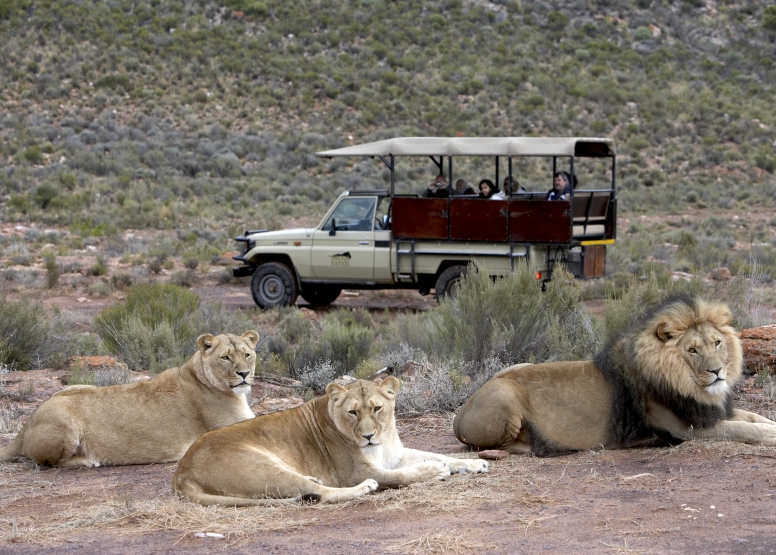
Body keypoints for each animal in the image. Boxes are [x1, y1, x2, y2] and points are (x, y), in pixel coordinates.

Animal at [0, 332, 260, 466]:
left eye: (247, 354)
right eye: (225, 357)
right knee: (48, 462)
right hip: (64, 419)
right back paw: (88, 460)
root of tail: (27, 424)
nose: (244, 374)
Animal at [175, 376, 488, 506]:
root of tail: (181, 472)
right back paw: (363, 489)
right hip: (262, 467)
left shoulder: (394, 455)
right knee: (319, 493)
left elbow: (438, 454)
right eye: (352, 412)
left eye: (377, 408)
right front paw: (433, 471)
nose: (368, 436)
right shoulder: (356, 470)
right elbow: (401, 475)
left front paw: (474, 464)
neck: (384, 439)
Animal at [452, 296, 776, 456]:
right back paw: (543, 446)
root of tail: (461, 412)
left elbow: (754, 418)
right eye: (693, 350)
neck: (691, 385)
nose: (718, 371)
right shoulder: (688, 430)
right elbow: (744, 430)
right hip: (505, 395)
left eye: (717, 343)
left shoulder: (710, 412)